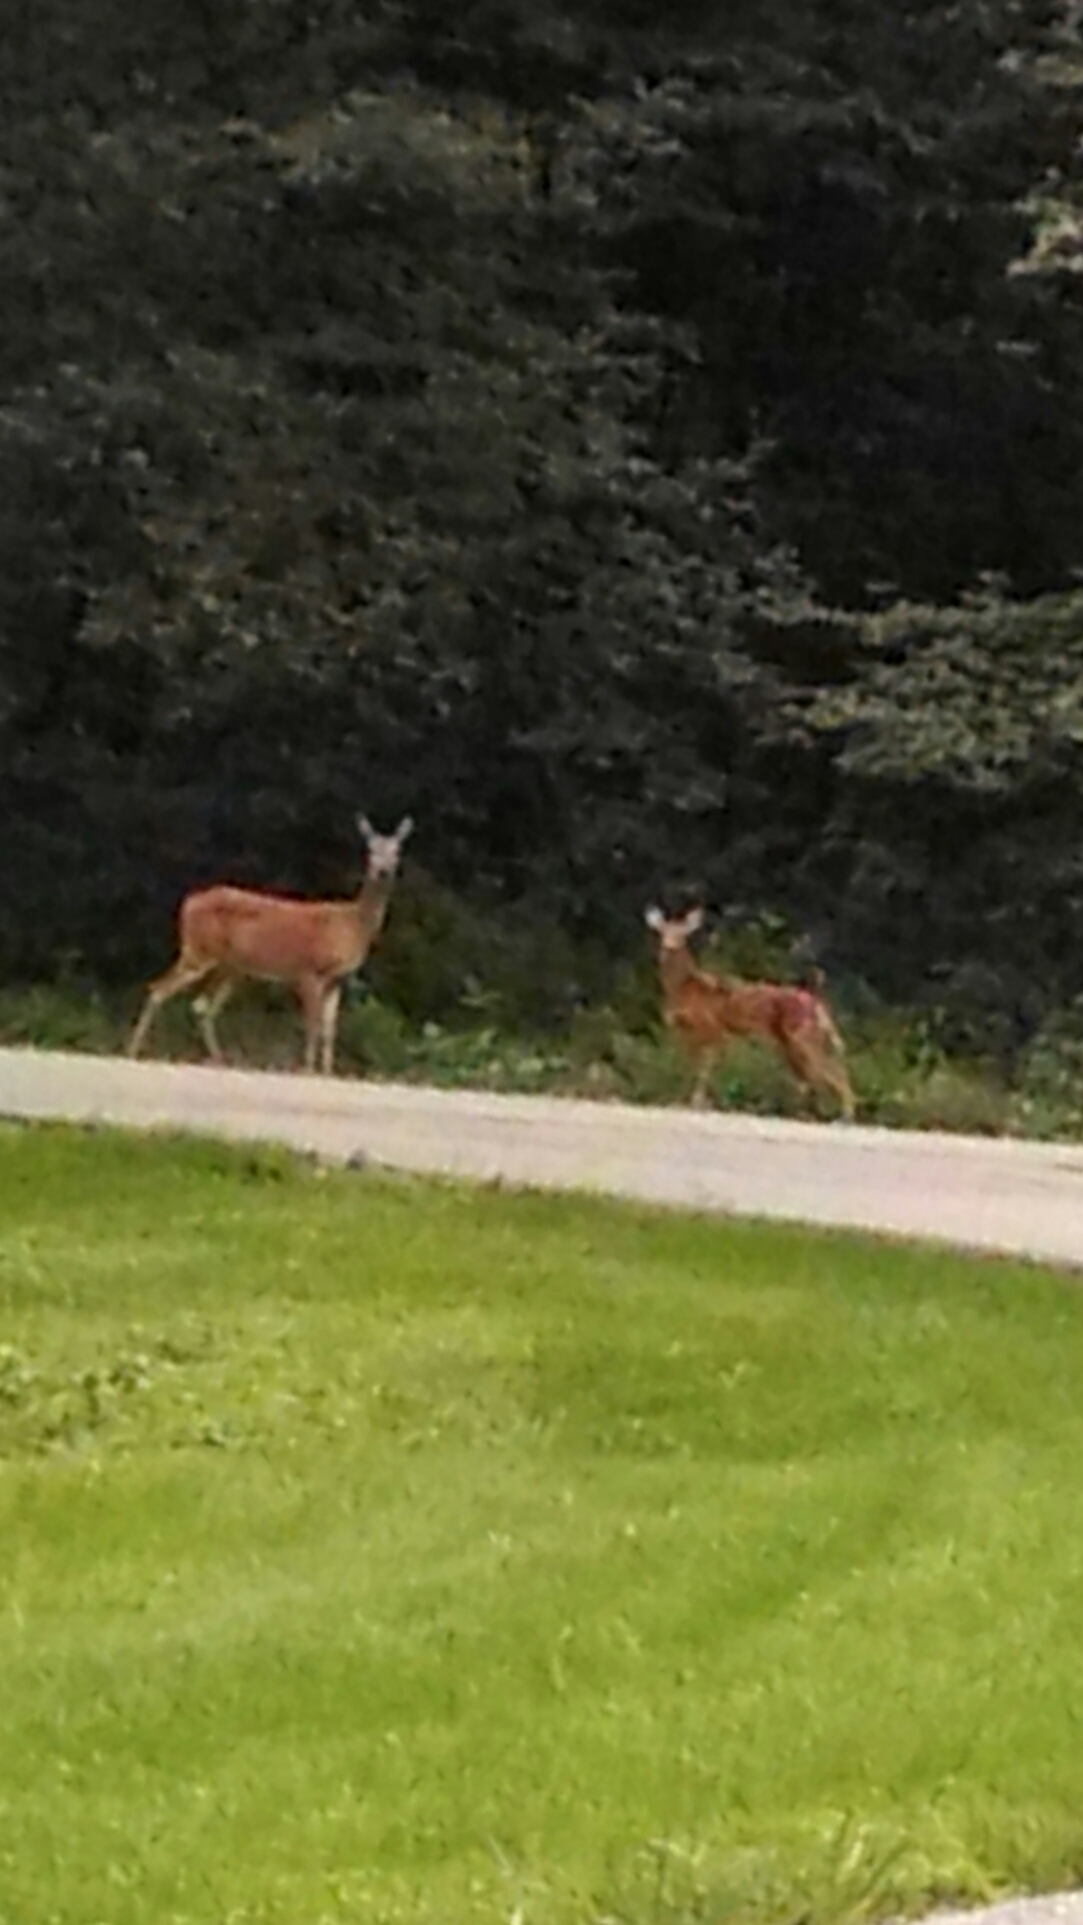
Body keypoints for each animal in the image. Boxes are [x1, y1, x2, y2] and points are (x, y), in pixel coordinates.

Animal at [127, 816, 415, 1078]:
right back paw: (133, 1050)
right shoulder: (309, 971)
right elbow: (312, 1025)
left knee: (201, 1006)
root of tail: (187, 903)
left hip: (228, 967)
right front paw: (308, 1070)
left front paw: (327, 1072)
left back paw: (218, 1060)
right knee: (159, 990)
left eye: (396, 851)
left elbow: (329, 1029)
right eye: (370, 850)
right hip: (199, 950)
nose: (382, 871)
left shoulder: (336, 980)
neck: (351, 924)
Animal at [642, 904, 857, 1124]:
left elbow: (703, 1071)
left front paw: (697, 1103)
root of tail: (817, 1004)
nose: (669, 946)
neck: (683, 988)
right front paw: (688, 1101)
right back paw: (805, 1113)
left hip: (803, 1037)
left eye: (683, 934)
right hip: (792, 1043)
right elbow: (690, 1069)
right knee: (812, 1078)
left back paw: (844, 1116)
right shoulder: (687, 1034)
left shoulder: (711, 1029)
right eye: (662, 932)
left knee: (833, 1071)